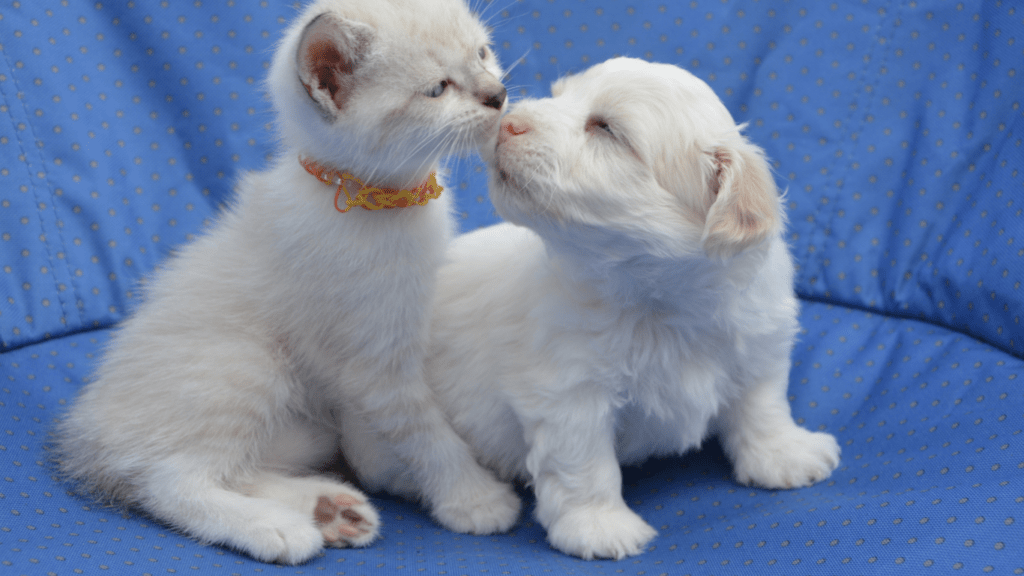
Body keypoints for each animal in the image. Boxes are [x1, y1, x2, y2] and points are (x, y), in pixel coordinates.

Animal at [55, 0, 516, 565]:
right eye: (437, 89)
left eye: (482, 54)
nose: (498, 94)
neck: (372, 200)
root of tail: (85, 432)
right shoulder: (374, 362)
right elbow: (426, 432)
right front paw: (472, 497)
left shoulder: (367, 352)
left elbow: (371, 439)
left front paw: (391, 472)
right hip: (247, 364)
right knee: (169, 478)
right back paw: (277, 527)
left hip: (306, 430)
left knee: (233, 467)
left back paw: (330, 509)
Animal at [415, 58, 839, 557]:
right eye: (558, 96)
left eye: (606, 129)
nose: (506, 121)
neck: (657, 300)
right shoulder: (568, 393)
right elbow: (584, 463)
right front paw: (599, 526)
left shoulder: (758, 339)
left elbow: (763, 402)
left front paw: (784, 454)